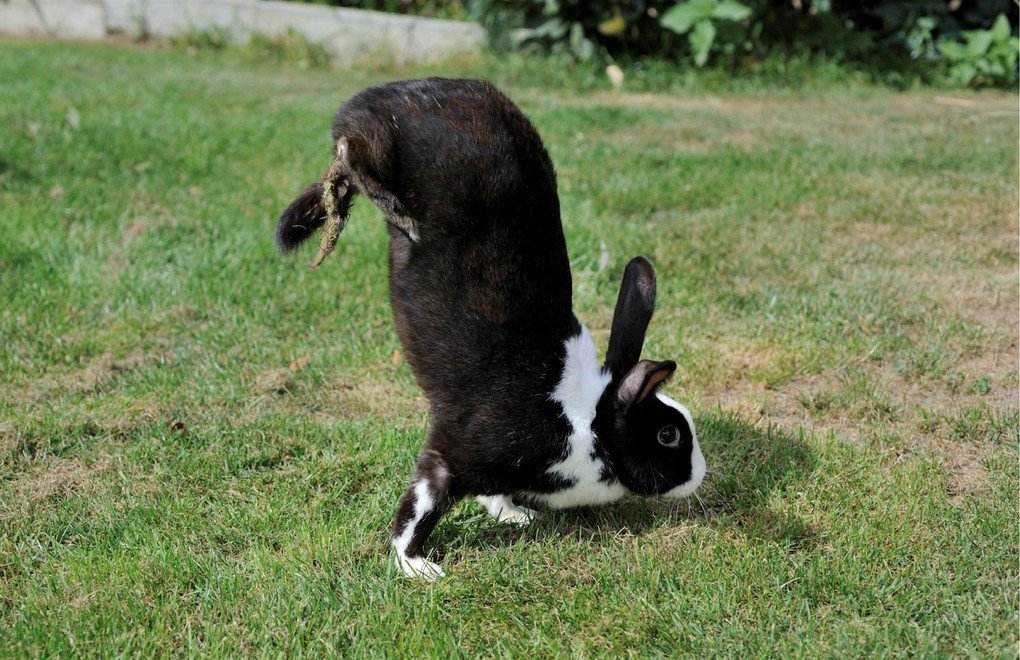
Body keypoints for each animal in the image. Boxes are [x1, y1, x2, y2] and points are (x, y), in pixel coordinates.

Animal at [275, 78, 705, 579]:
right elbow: (421, 506)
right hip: (383, 146)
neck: (588, 421)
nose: (699, 475)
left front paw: (515, 515)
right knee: (354, 153)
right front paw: (417, 567)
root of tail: (385, 94)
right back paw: (391, 209)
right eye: (667, 435)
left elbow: (491, 494)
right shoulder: (453, 456)